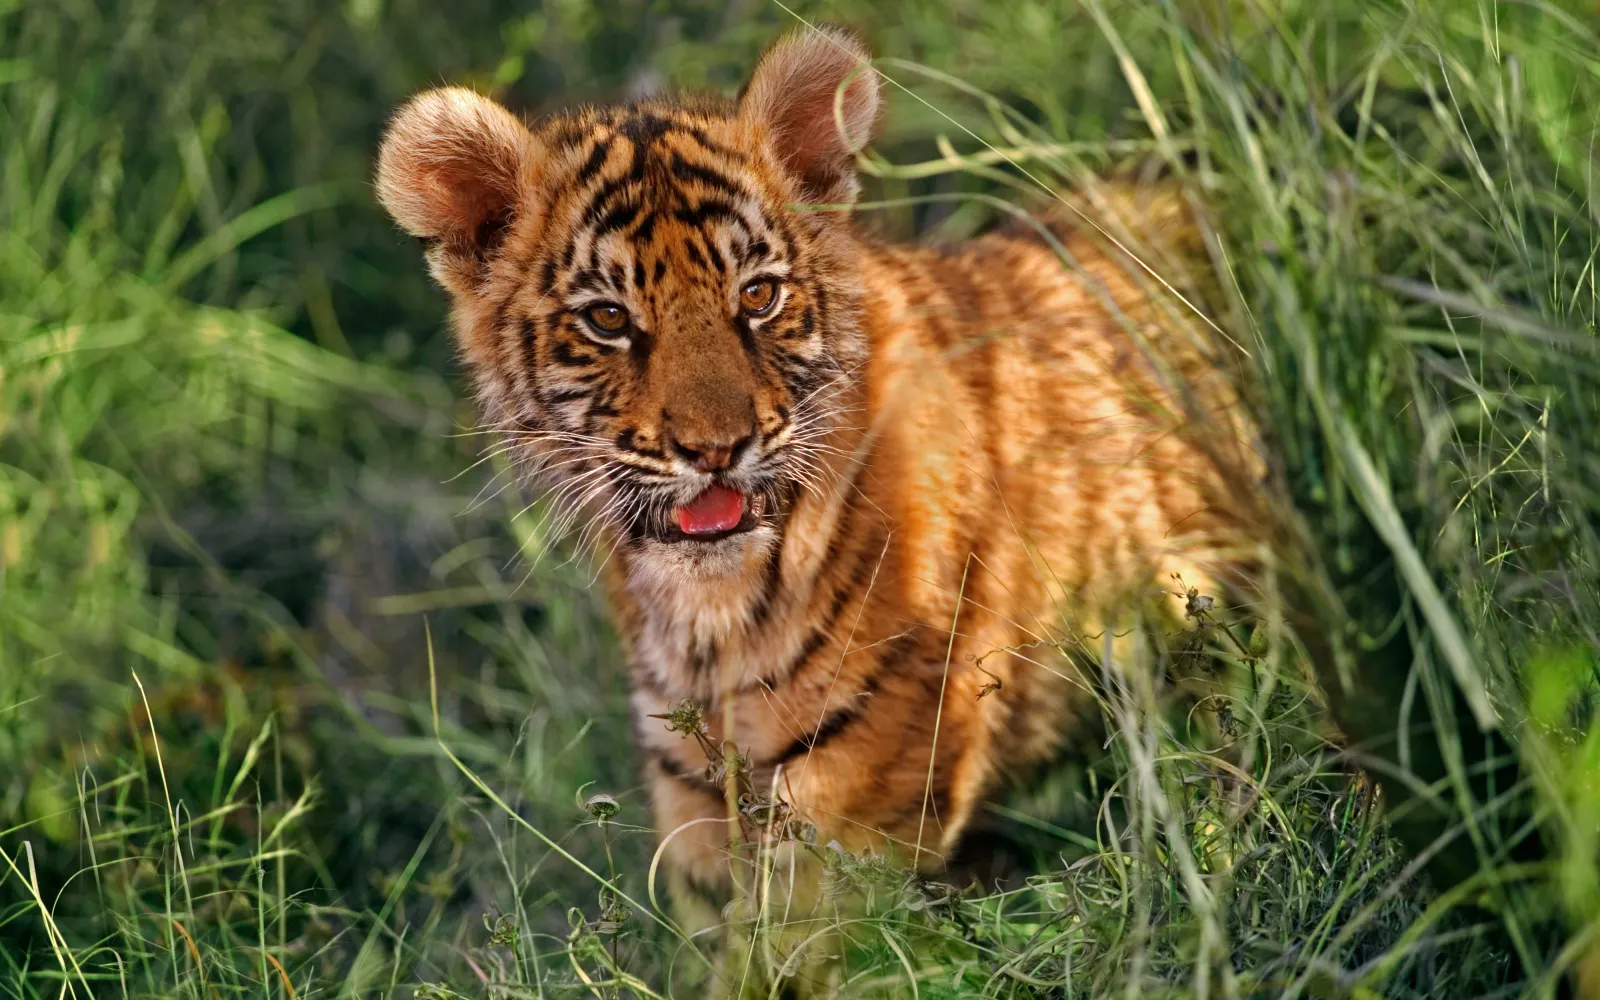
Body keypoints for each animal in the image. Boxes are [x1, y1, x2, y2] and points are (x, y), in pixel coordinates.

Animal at [376, 21, 1258, 992]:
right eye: (608, 319)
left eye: (758, 296)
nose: (715, 449)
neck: (707, 621)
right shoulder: (694, 786)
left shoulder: (858, 791)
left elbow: (787, 949)